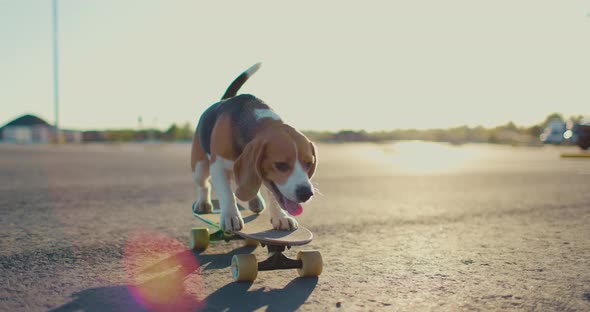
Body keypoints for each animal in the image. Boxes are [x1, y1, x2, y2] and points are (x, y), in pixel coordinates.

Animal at [192, 64, 316, 232]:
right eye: (281, 165)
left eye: (309, 164)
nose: (306, 193)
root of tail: (223, 100)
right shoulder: (218, 167)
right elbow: (226, 193)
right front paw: (230, 216)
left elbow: (274, 194)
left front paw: (281, 217)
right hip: (199, 167)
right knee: (204, 185)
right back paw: (203, 203)